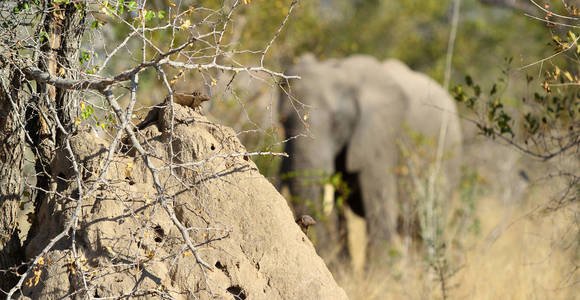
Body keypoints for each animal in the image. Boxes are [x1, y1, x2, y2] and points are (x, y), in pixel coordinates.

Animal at [280, 54, 462, 262]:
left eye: (336, 123)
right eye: (282, 120)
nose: (307, 222)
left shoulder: (380, 136)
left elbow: (379, 205)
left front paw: (377, 271)